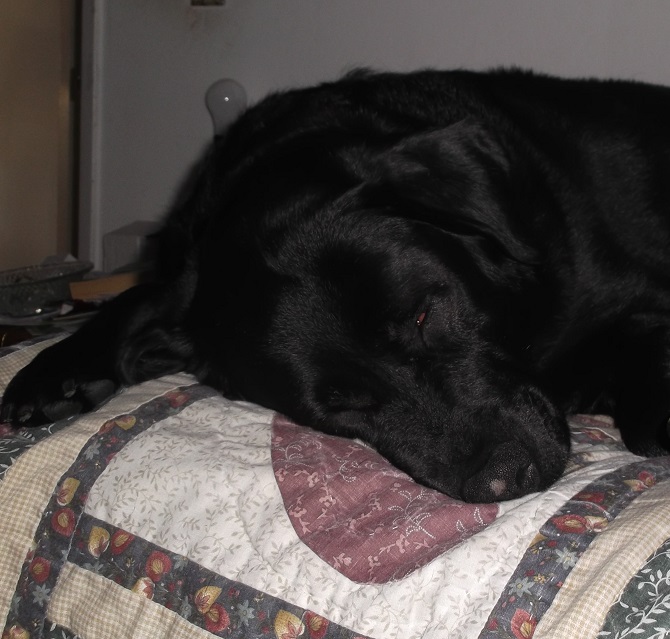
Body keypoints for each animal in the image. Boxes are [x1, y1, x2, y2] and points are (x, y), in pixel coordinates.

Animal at [1, 67, 670, 502]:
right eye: (342, 407)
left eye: (424, 315)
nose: (510, 477)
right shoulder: (182, 273)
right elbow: (135, 298)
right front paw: (52, 373)